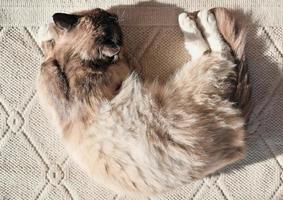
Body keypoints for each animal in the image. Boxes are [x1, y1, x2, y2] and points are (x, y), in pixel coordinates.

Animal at [37, 7, 251, 195]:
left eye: (108, 16)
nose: (115, 16)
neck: (77, 61)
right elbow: (49, 51)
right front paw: (46, 33)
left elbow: (48, 52)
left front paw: (46, 32)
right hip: (198, 76)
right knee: (217, 53)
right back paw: (197, 19)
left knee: (220, 53)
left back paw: (198, 19)